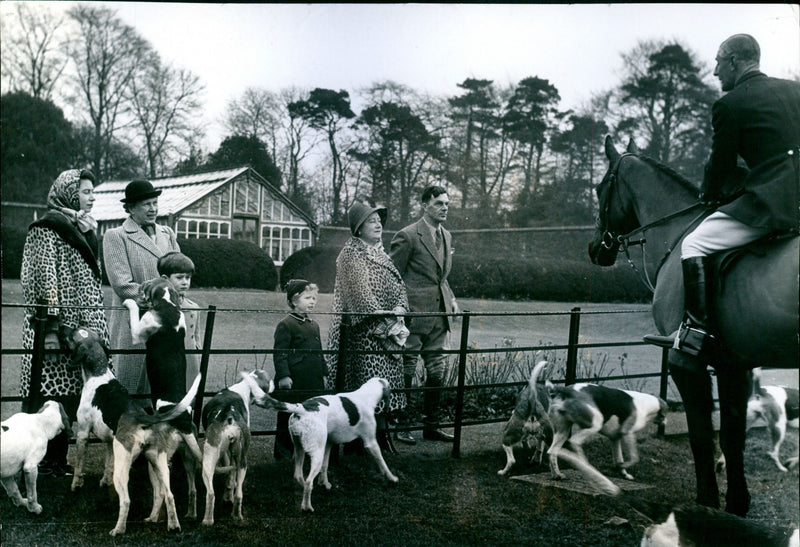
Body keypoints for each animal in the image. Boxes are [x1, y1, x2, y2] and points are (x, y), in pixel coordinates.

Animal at [200, 370, 276, 524]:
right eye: (269, 379)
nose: (275, 383)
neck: (243, 386)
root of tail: (228, 414)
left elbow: (229, 475)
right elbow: (231, 475)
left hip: (210, 460)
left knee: (212, 494)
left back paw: (210, 520)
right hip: (240, 461)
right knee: (237, 493)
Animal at [262, 378, 400, 512]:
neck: (366, 395)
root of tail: (301, 408)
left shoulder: (329, 444)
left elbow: (325, 466)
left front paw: (324, 483)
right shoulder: (371, 443)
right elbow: (382, 462)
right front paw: (392, 478)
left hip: (300, 449)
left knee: (299, 477)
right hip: (316, 453)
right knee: (308, 482)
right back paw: (307, 507)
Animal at [588, 137, 800, 520]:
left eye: (600, 188)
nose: (595, 248)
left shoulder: (685, 362)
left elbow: (701, 435)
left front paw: (706, 503)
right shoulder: (735, 364)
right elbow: (732, 436)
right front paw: (736, 505)